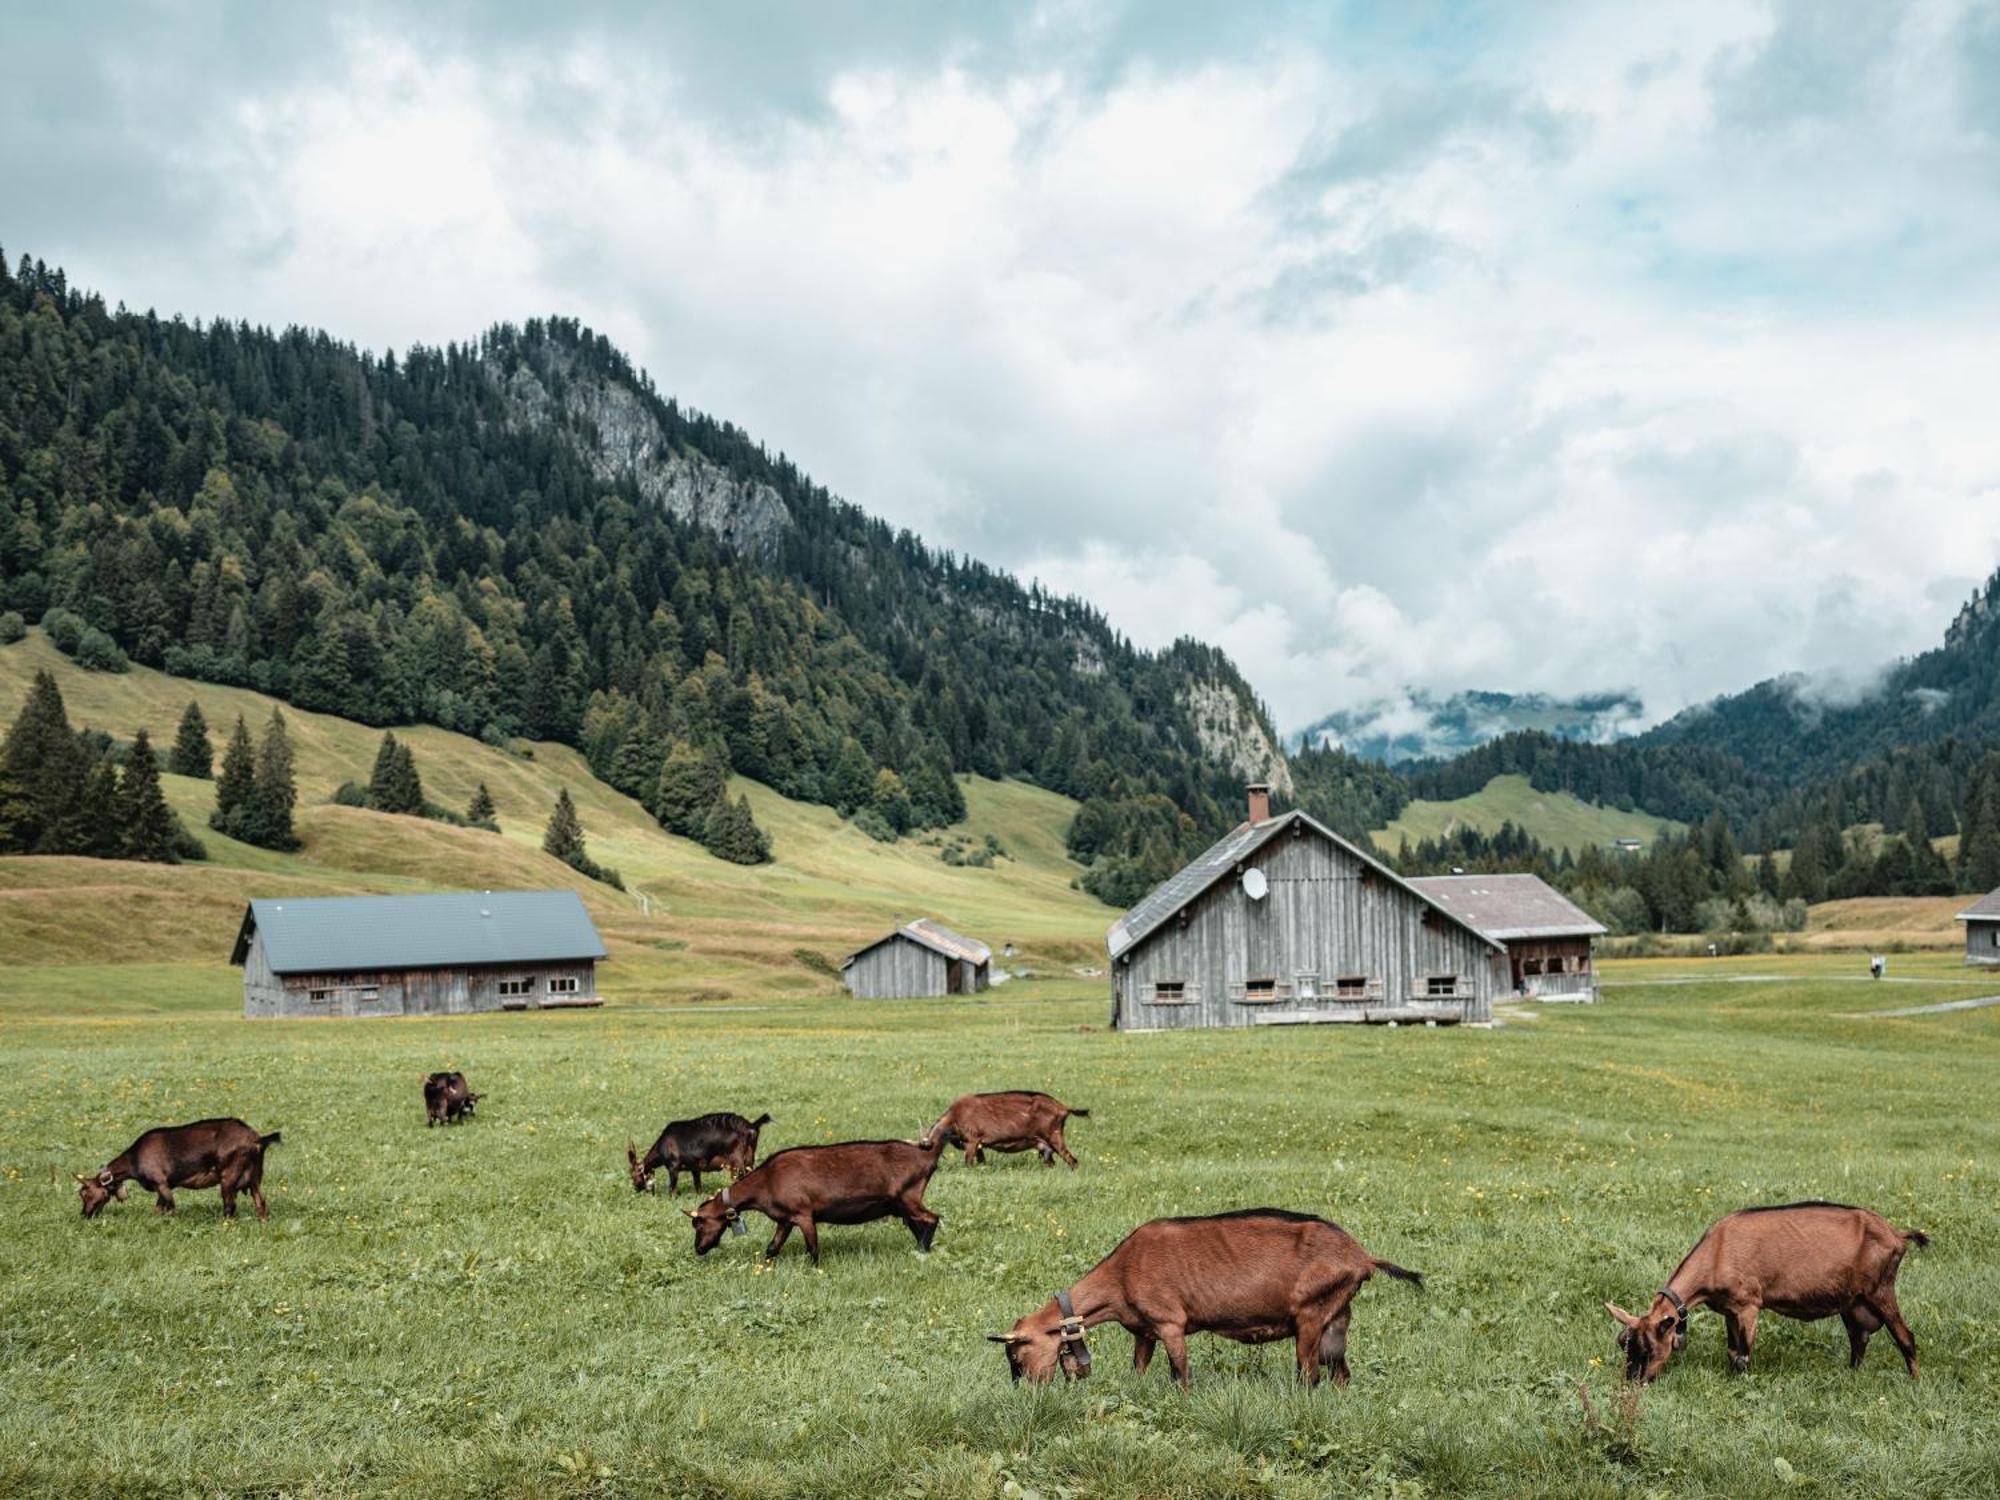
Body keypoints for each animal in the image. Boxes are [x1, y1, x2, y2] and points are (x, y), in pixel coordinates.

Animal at [75, 1120, 282, 1224]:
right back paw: (263, 1224)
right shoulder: (163, 1186)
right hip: (254, 1176)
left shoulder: (162, 1183)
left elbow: (172, 1208)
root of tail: (258, 1139)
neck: (134, 1159)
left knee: (230, 1206)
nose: (84, 1215)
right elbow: (158, 1209)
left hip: (229, 1176)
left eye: (86, 1193)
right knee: (261, 1202)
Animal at [688, 1144, 944, 1264]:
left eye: (699, 1224)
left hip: (908, 1197)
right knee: (918, 1224)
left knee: (932, 1218)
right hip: (902, 1204)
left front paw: (815, 1270)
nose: (698, 1248)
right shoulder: (785, 1219)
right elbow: (772, 1247)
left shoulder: (803, 1214)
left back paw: (922, 1251)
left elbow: (813, 1248)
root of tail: (928, 1158)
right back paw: (921, 1249)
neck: (766, 1181)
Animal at [924, 1096, 1096, 1176]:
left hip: (1054, 1136)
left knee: (1073, 1160)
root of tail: (1064, 1108)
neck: (954, 1117)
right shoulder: (979, 1144)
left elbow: (968, 1162)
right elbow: (982, 1161)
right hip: (1044, 1146)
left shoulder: (972, 1140)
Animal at [992, 1208, 1416, 1392]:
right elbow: (1138, 1368)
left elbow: (1180, 1373)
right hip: (1338, 1315)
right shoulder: (1144, 1331)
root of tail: (1361, 1257)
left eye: (1018, 1355)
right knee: (1340, 1372)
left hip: (1311, 1313)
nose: (1025, 1392)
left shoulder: (1170, 1323)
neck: (1122, 1274)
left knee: (1308, 1375)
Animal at [1600, 1200, 1928, 1384]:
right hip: (1853, 1303)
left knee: (1905, 1337)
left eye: (1648, 1348)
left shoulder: (1749, 1305)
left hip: (1881, 1291)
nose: (1631, 1382)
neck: (1717, 1252)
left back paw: (1915, 1382)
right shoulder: (1730, 1309)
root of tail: (1897, 1235)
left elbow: (1743, 1355)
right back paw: (1851, 1377)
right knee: (1859, 1340)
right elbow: (1732, 1352)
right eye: (1623, 1342)